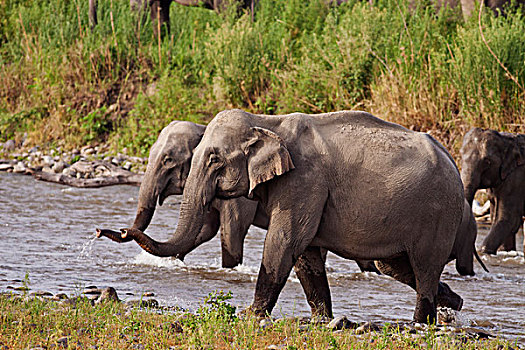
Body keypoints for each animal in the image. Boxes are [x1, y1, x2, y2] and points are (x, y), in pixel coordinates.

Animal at [116, 108, 464, 322]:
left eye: (214, 159)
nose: (118, 231)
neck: (268, 122)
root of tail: (451, 158)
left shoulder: (304, 181)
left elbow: (283, 241)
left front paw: (251, 315)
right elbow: (305, 254)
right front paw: (322, 320)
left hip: (439, 212)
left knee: (424, 265)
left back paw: (422, 321)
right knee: (394, 265)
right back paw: (452, 302)